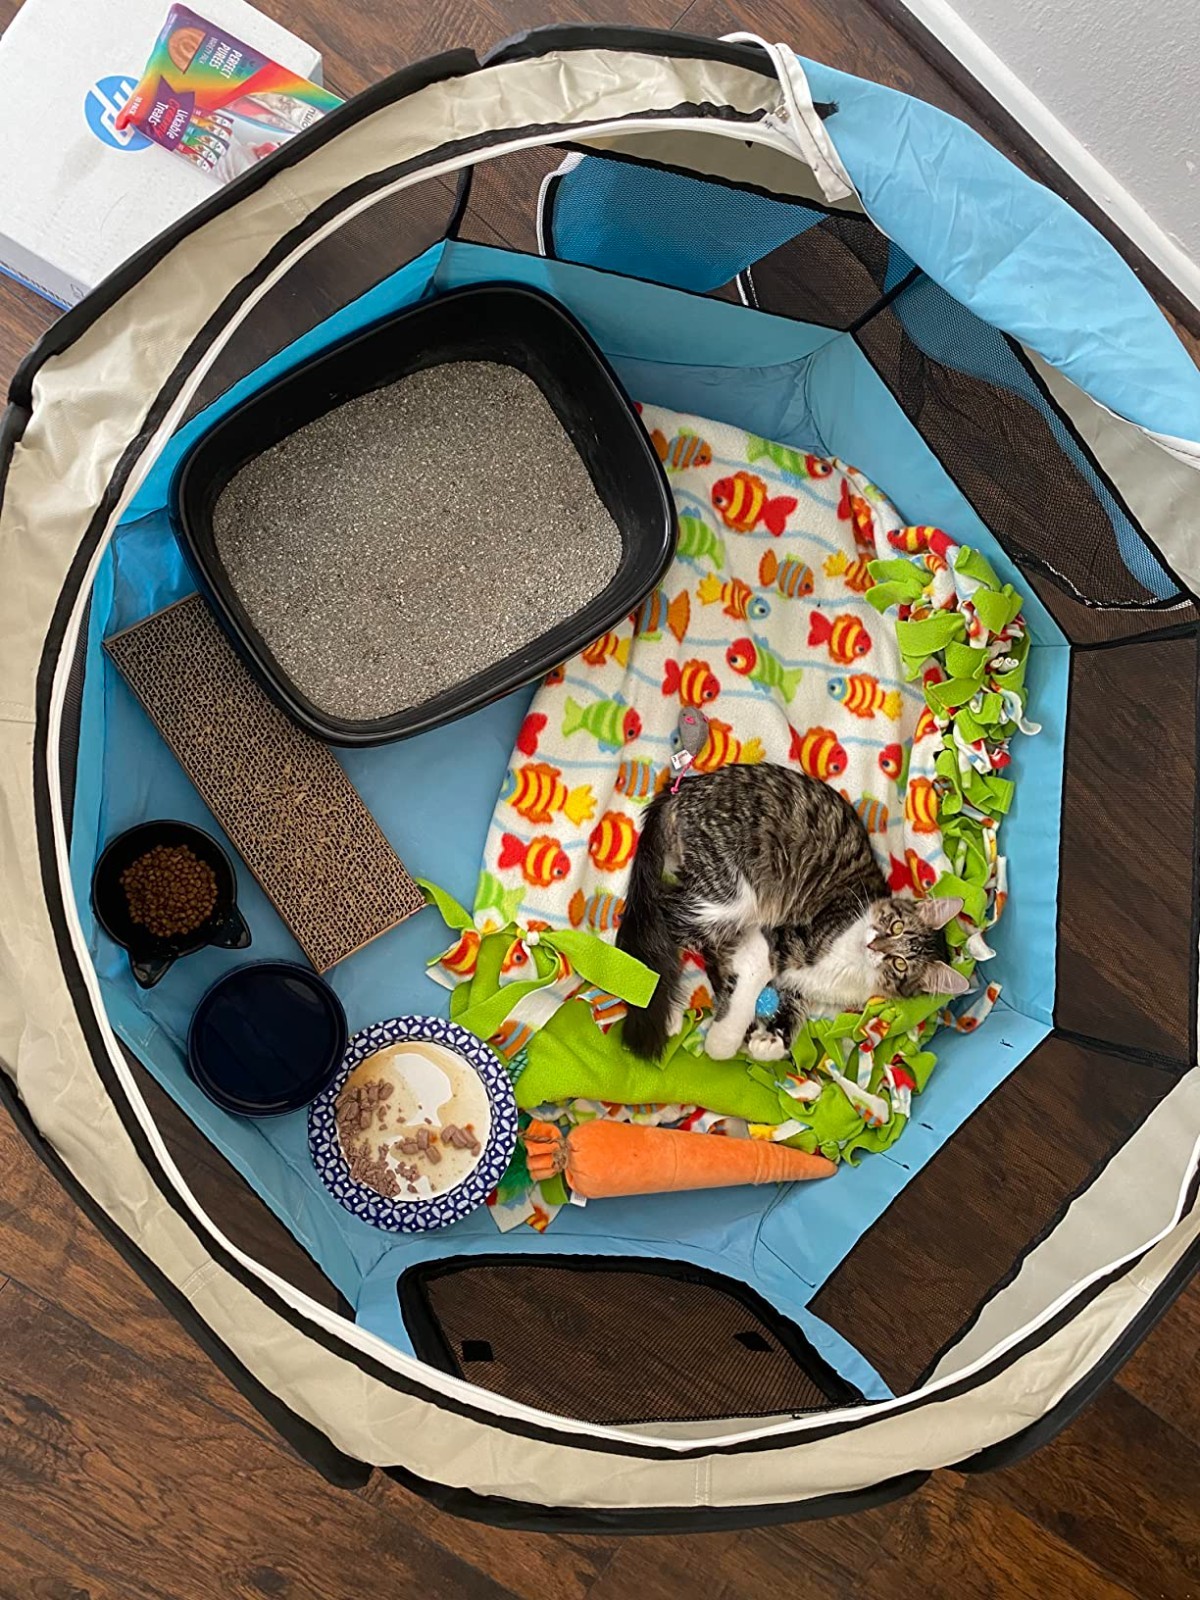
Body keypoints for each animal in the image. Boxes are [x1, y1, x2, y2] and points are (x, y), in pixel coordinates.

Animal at [616, 763, 968, 1062]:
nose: (874, 944)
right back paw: (663, 1003)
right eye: (895, 926)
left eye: (899, 964)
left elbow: (792, 1015)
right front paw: (723, 1041)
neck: (852, 965)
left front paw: (771, 1041)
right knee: (658, 918)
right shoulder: (774, 936)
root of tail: (686, 787)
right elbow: (748, 990)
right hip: (731, 896)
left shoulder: (798, 985)